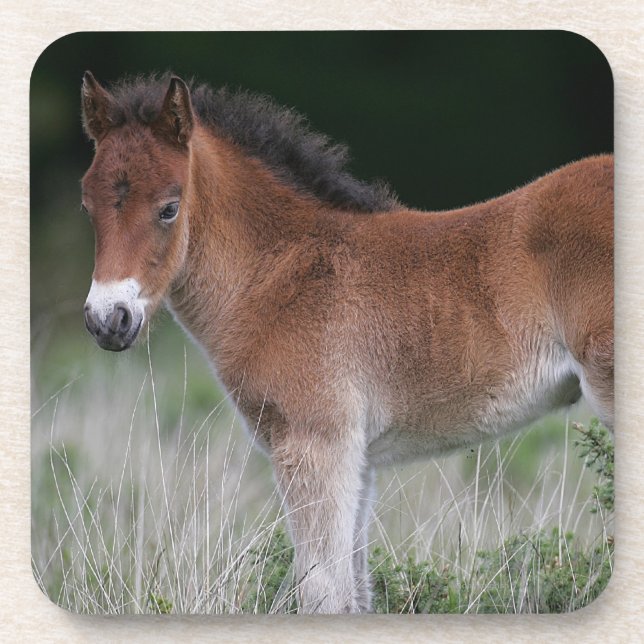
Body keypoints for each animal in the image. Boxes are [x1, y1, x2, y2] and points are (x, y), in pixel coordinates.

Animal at [80, 72, 613, 614]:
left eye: (169, 208)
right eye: (87, 204)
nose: (108, 320)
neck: (281, 272)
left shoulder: (316, 443)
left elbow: (322, 592)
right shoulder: (356, 460)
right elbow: (353, 591)